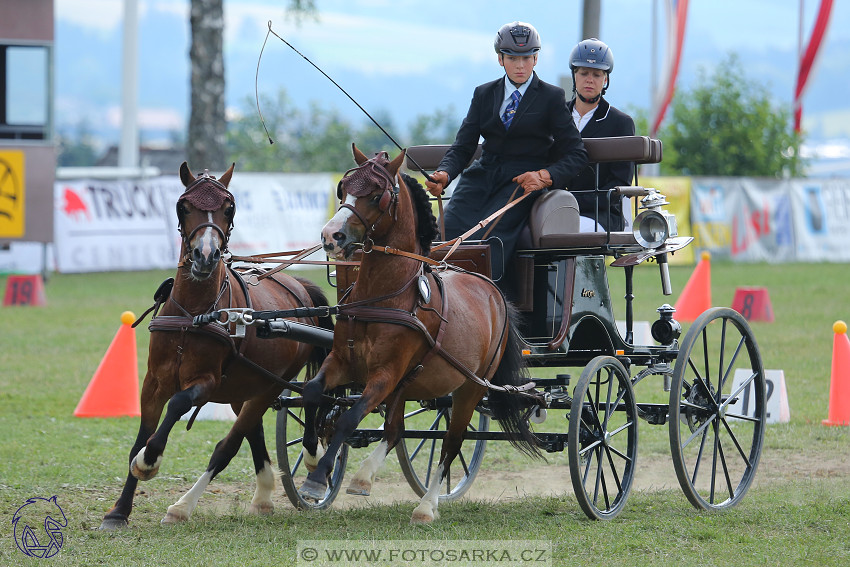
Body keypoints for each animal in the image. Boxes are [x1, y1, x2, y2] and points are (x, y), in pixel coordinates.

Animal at [101, 162, 332, 532]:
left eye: (229, 208)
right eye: (183, 206)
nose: (205, 256)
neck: (194, 313)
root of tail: (298, 285)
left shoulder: (206, 381)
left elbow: (179, 404)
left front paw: (149, 461)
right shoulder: (154, 381)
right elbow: (140, 437)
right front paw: (118, 511)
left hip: (268, 384)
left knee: (246, 434)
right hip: (244, 387)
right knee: (255, 430)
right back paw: (264, 495)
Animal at [298, 146, 536, 524]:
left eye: (377, 195)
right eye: (343, 188)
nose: (330, 236)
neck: (383, 297)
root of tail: (493, 291)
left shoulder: (385, 374)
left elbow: (349, 418)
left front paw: (318, 477)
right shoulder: (342, 363)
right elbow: (311, 393)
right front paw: (310, 458)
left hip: (470, 387)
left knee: (451, 443)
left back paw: (426, 505)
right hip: (408, 384)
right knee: (395, 430)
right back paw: (364, 477)